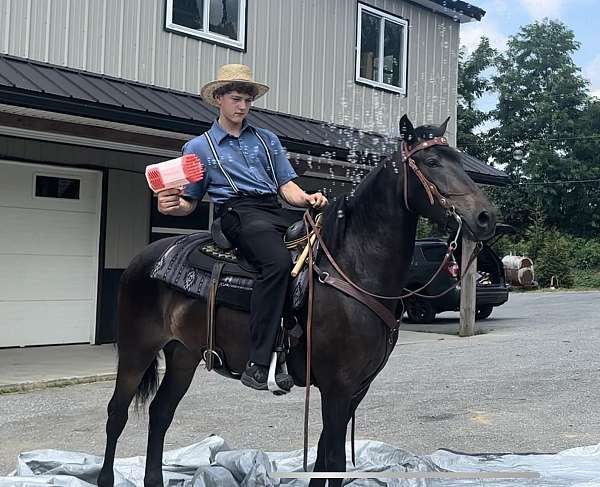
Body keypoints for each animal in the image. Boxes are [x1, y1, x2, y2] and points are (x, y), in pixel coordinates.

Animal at [96, 115, 494, 487]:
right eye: (431, 161)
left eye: (457, 159)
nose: (485, 217)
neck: (353, 267)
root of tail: (144, 258)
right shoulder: (337, 388)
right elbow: (333, 461)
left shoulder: (357, 388)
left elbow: (322, 457)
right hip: (136, 350)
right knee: (117, 414)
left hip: (184, 354)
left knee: (161, 412)